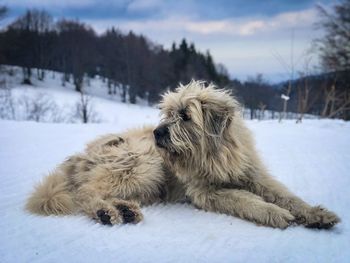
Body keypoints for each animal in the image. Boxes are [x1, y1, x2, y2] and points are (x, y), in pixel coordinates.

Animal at [26, 81, 340, 230]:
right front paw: (273, 213)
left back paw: (124, 209)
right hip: (143, 164)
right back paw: (107, 212)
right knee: (86, 194)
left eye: (185, 116)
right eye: (166, 114)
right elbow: (244, 199)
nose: (157, 132)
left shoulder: (255, 175)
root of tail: (80, 157)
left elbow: (287, 196)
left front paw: (316, 214)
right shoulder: (206, 192)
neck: (215, 156)